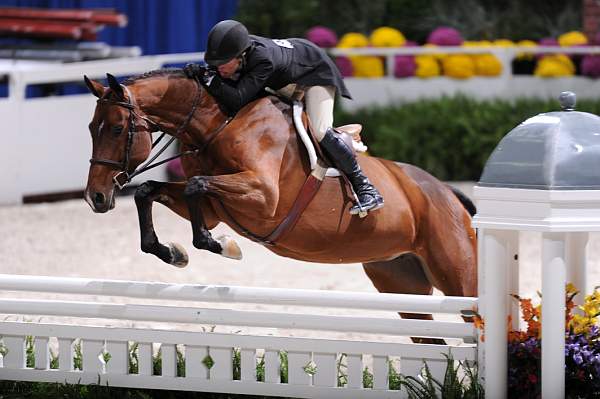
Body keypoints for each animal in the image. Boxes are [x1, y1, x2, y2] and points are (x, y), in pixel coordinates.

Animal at [83, 71, 478, 340]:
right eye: (90, 127)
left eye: (116, 129)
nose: (96, 197)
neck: (216, 126)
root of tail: (447, 194)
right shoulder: (213, 208)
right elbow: (148, 191)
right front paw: (173, 253)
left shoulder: (263, 198)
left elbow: (195, 187)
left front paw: (220, 245)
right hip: (402, 285)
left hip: (458, 277)